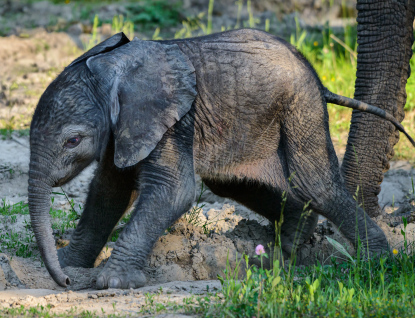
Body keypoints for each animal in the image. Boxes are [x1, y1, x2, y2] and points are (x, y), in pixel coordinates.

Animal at [28, 29, 412, 288]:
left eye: (73, 141)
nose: (63, 283)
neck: (114, 66)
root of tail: (318, 78)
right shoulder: (125, 128)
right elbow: (108, 191)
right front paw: (69, 265)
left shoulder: (173, 120)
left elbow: (172, 190)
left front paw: (110, 281)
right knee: (232, 182)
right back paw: (291, 245)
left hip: (300, 106)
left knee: (314, 184)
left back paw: (376, 262)